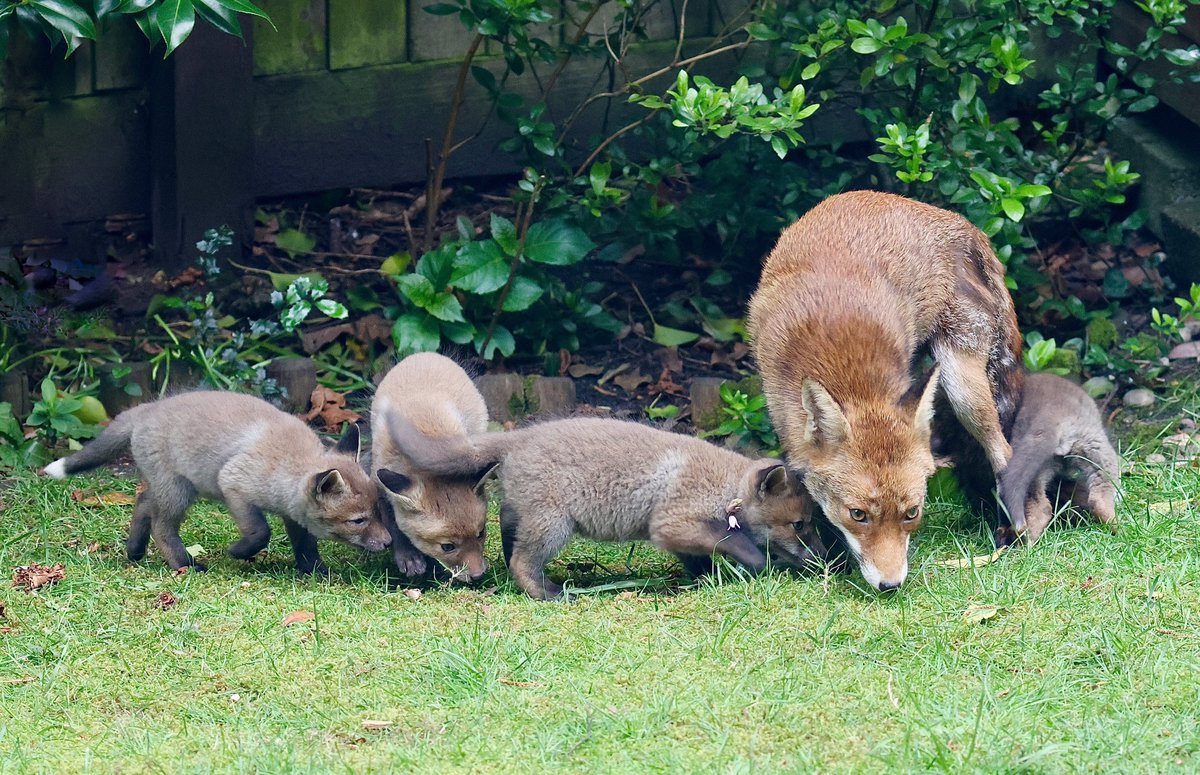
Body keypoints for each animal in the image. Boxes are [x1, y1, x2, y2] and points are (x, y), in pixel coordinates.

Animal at [42, 391, 390, 574]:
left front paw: (315, 571)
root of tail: (148, 408)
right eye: (358, 520)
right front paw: (238, 552)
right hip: (178, 492)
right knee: (161, 528)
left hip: (169, 487)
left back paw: (135, 551)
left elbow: (305, 544)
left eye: (380, 512)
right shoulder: (234, 484)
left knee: (142, 505)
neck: (287, 464)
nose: (388, 543)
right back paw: (184, 564)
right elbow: (260, 531)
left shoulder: (294, 512)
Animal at [370, 353, 493, 582]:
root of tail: (425, 354)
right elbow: (394, 527)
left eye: (481, 533)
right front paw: (408, 557)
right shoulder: (380, 484)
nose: (479, 576)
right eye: (447, 546)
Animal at [385, 414, 823, 600]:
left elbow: (700, 558)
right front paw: (756, 565)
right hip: (554, 524)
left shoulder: (680, 534)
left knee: (509, 535)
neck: (724, 487)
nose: (823, 561)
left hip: (526, 512)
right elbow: (735, 543)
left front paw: (705, 580)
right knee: (523, 563)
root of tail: (520, 437)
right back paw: (548, 594)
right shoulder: (671, 523)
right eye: (800, 524)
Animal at [747, 190, 1024, 591]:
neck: (848, 370)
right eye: (857, 514)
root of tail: (960, 222)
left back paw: (1015, 530)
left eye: (912, 513)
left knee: (1003, 451)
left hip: (961, 384)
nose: (890, 586)